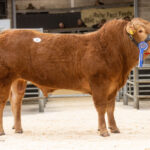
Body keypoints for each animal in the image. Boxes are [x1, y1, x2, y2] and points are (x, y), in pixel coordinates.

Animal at [0, 17, 150, 137]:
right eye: (140, 31)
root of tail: (6, 32)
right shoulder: (99, 83)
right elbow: (101, 107)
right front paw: (103, 131)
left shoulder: (113, 87)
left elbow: (110, 108)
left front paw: (114, 128)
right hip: (4, 79)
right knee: (3, 102)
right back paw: (2, 131)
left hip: (18, 79)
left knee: (16, 101)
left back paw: (18, 129)